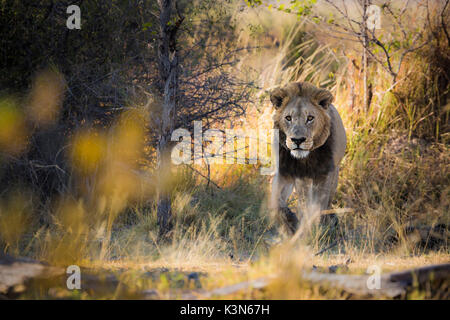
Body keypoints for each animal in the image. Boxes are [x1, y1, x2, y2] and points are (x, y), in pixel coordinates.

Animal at [268, 81, 346, 234]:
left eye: (310, 118)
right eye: (288, 118)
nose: (298, 140)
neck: (305, 159)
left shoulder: (325, 174)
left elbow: (318, 206)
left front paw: (316, 230)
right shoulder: (285, 173)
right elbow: (276, 201)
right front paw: (292, 223)